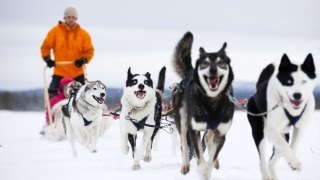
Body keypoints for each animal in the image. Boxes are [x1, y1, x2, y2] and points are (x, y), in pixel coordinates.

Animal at [172, 31, 235, 179]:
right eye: (205, 63)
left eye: (220, 62)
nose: (213, 70)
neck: (212, 102)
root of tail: (189, 72)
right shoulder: (194, 130)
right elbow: (199, 156)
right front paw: (201, 169)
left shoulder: (221, 133)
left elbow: (211, 158)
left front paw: (207, 170)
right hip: (182, 120)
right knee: (184, 143)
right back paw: (185, 166)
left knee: (207, 139)